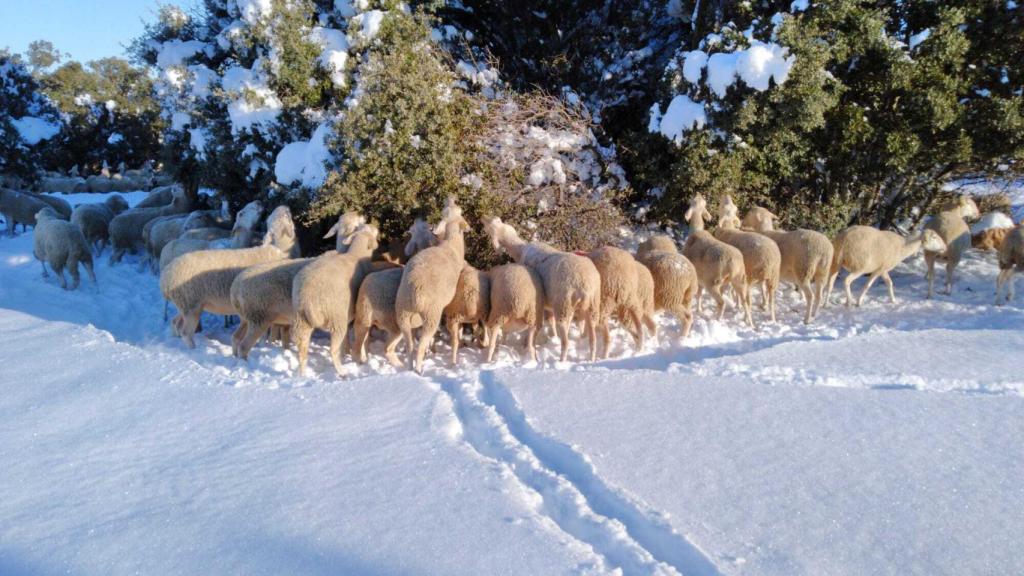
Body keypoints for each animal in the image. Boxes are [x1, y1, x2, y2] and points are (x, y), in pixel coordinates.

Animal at [157, 203, 299, 348]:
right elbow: (265, 334)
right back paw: (193, 348)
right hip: (191, 306)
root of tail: (166, 276)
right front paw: (263, 346)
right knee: (186, 333)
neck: (280, 250)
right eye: (282, 217)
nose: (285, 206)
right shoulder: (262, 307)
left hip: (185, 305)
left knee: (175, 322)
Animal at [292, 222, 380, 375]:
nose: (377, 228)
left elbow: (346, 340)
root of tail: (308, 297)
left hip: (301, 320)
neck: (356, 254)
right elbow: (363, 338)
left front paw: (346, 352)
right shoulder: (360, 312)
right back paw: (342, 371)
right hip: (336, 318)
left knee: (302, 350)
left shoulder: (348, 315)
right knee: (332, 349)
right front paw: (362, 357)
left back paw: (302, 374)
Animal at [483, 217, 602, 360]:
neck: (520, 249)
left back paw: (561, 361)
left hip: (563, 306)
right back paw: (591, 359)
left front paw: (526, 344)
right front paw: (552, 337)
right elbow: (550, 321)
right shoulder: (547, 304)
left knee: (566, 342)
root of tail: (584, 285)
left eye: (489, 228)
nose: (482, 220)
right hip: (592, 307)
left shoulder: (535, 304)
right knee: (593, 340)